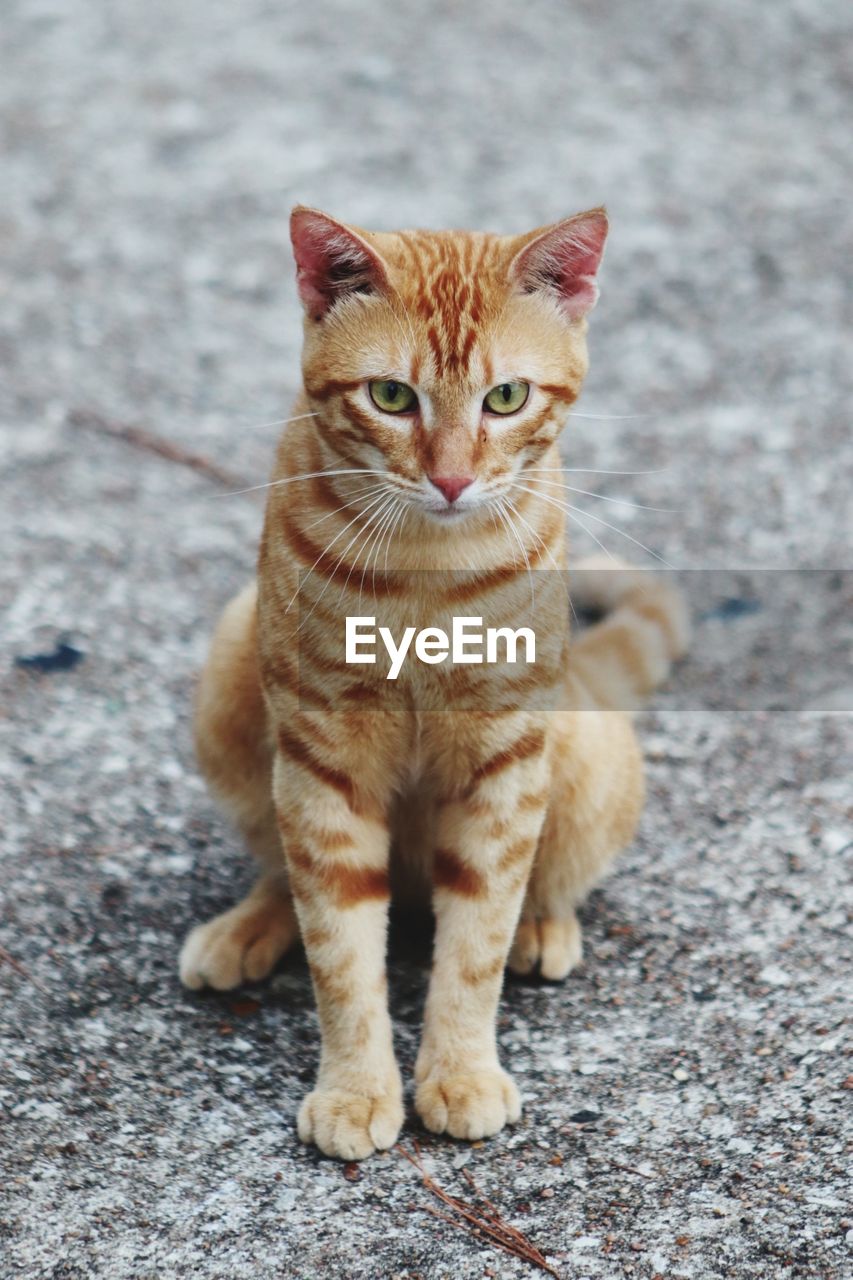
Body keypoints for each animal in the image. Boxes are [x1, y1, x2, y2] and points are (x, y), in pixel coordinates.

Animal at [178, 207, 686, 1162]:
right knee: (282, 870)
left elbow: (475, 942)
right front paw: (355, 1088)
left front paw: (458, 1072)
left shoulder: (502, 764)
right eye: (390, 397)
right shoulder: (321, 759)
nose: (450, 479)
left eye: (505, 399)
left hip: (582, 751)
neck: (422, 569)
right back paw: (250, 924)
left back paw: (541, 923)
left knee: (545, 878)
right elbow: (340, 950)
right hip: (232, 673)